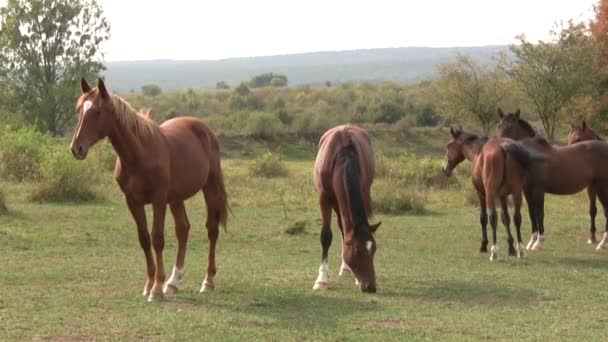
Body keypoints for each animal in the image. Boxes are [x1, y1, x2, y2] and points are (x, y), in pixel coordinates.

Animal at [69, 78, 230, 302]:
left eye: (97, 112)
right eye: (79, 110)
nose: (76, 148)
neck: (140, 153)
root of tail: (206, 131)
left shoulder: (158, 200)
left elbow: (158, 239)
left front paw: (156, 290)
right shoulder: (133, 202)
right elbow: (144, 239)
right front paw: (149, 284)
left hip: (210, 187)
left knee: (212, 230)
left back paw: (207, 282)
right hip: (177, 198)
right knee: (183, 229)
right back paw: (173, 282)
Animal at [314, 124, 380, 292]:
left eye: (374, 249)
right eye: (357, 251)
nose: (370, 287)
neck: (343, 157)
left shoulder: (363, 191)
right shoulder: (324, 198)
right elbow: (326, 236)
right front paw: (321, 279)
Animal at [442, 127, 540, 260]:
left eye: (449, 145)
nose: (444, 169)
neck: (478, 153)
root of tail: (503, 147)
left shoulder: (481, 194)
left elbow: (483, 218)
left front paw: (483, 245)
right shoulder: (503, 196)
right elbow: (506, 218)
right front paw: (511, 248)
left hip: (490, 193)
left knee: (493, 218)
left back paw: (494, 252)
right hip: (517, 193)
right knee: (517, 218)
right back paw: (521, 250)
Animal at [498, 109, 608, 251]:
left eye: (510, 127)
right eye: (499, 125)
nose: (499, 146)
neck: (530, 155)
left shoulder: (538, 191)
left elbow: (540, 214)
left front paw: (538, 243)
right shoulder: (527, 191)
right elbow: (532, 214)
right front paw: (531, 242)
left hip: (601, 188)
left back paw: (603, 243)